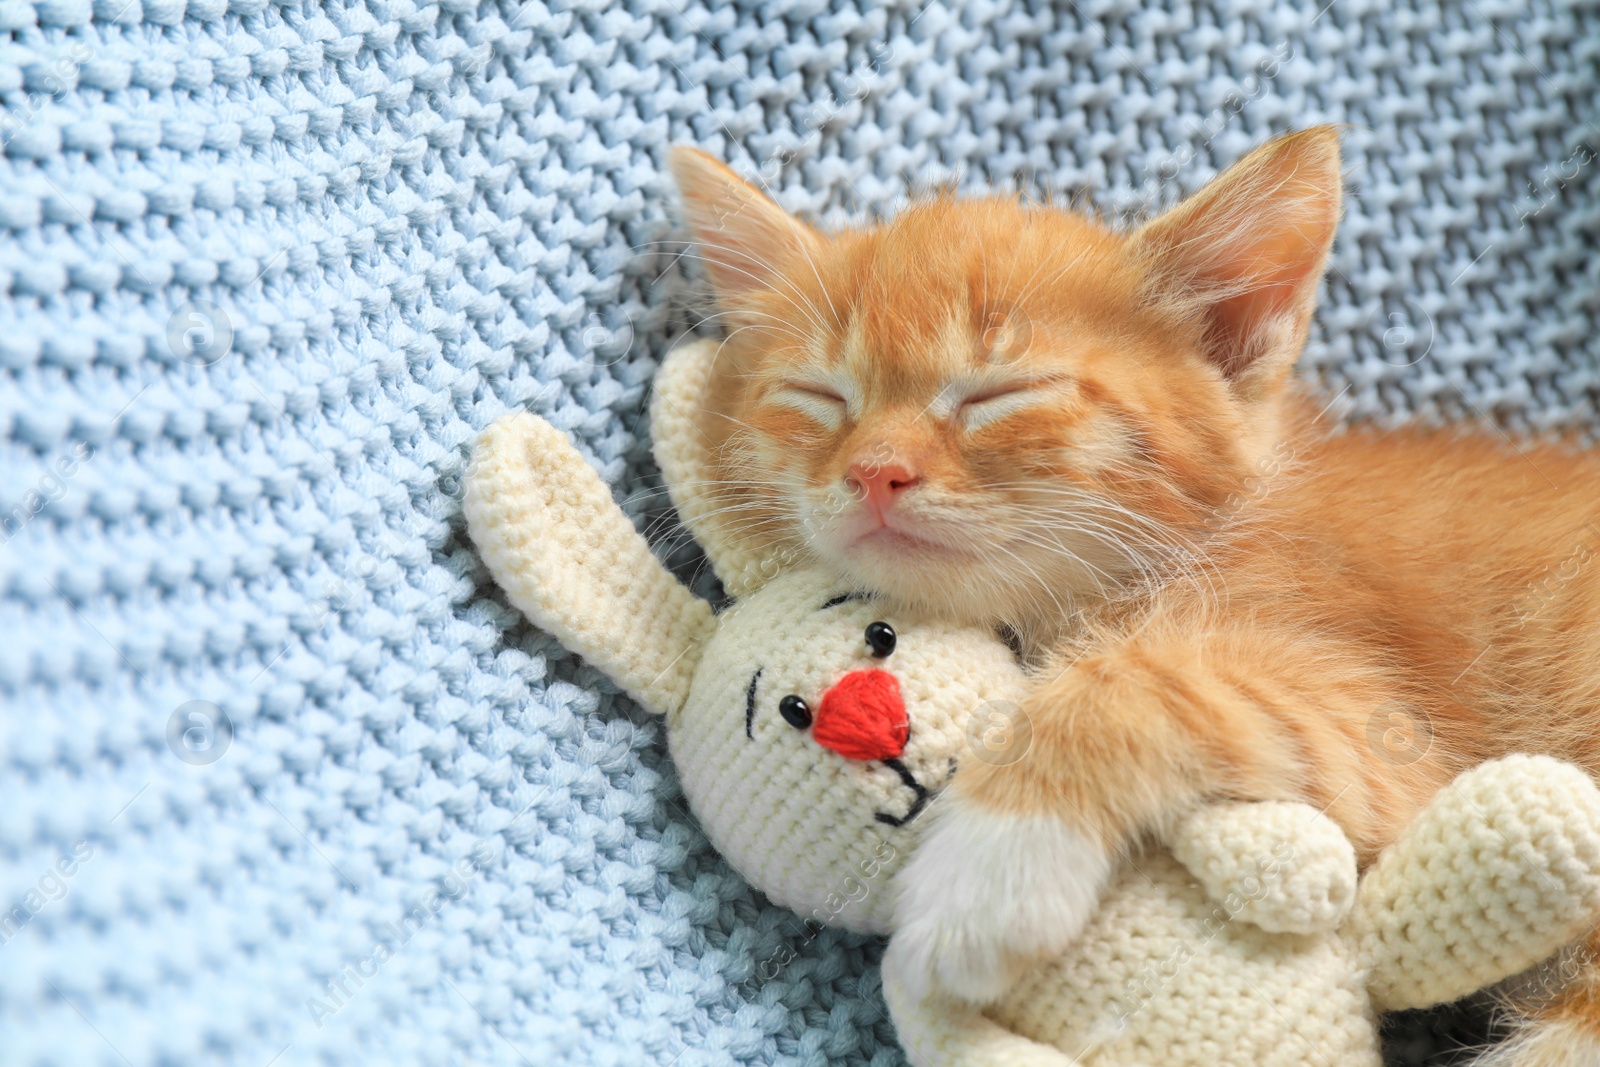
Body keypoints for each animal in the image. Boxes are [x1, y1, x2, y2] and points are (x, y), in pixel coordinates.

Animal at [662, 131, 1600, 1062]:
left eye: (998, 394)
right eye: (820, 395)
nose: (874, 471)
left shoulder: (1392, 734)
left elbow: (1137, 680)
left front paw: (990, 877)